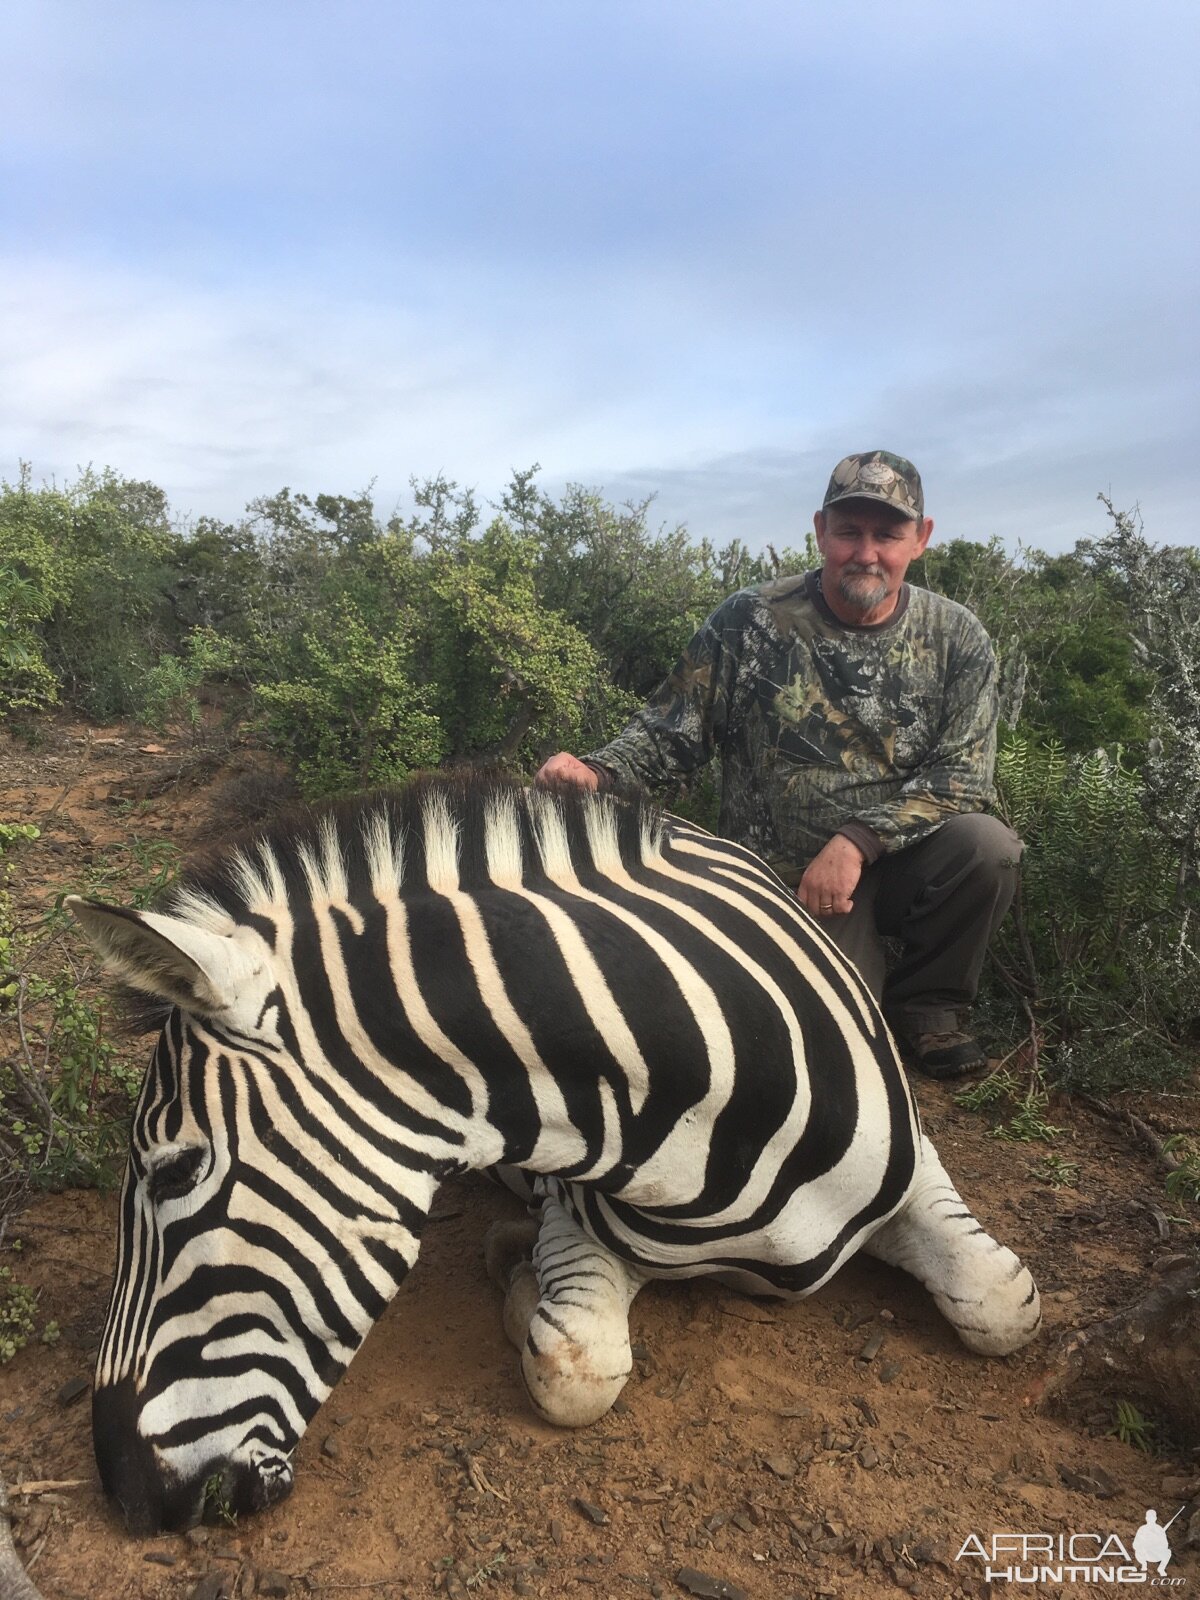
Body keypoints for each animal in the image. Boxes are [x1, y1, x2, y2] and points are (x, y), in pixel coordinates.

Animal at [68, 774, 1043, 1536]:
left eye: (174, 1172)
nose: (124, 1493)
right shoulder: (575, 1217)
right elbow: (575, 1367)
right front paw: (516, 1279)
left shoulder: (915, 1165)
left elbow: (1004, 1304)